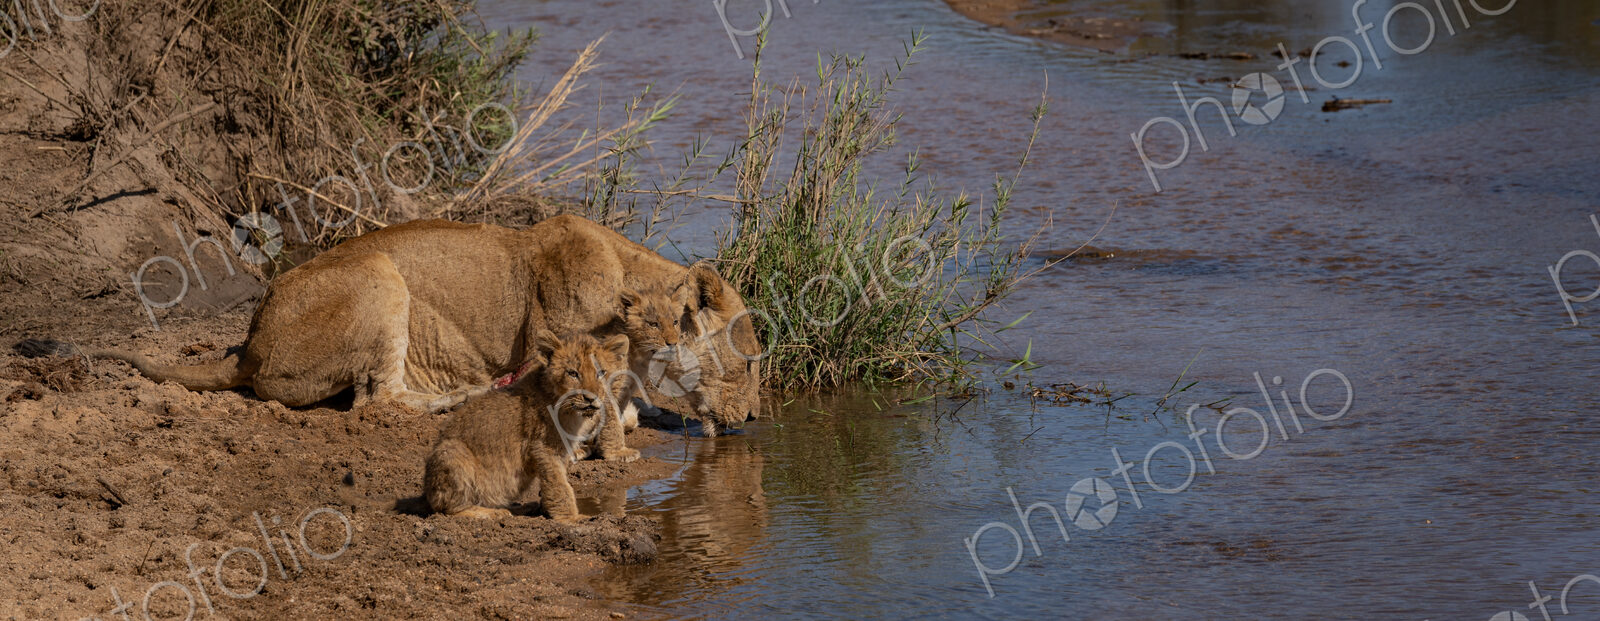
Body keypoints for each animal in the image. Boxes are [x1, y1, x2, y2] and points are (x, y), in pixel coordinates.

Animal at [15, 214, 762, 431]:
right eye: (754, 361)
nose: (756, 419)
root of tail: (248, 346)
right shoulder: (553, 353)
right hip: (380, 276)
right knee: (375, 401)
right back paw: (462, 395)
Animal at [423, 330, 630, 522]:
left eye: (601, 373)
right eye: (572, 373)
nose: (591, 398)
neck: (569, 410)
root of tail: (427, 489)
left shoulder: (561, 450)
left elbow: (556, 481)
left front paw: (548, 509)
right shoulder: (545, 448)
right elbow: (559, 484)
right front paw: (571, 518)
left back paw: (519, 507)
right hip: (452, 451)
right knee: (448, 508)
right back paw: (493, 513)